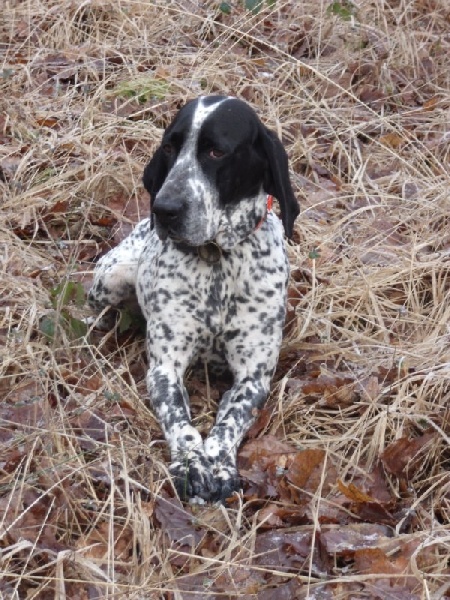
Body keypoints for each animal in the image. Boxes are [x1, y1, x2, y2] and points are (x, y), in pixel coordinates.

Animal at [88, 97, 298, 502]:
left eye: (216, 151)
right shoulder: (164, 368)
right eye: (170, 147)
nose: (164, 209)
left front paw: (218, 464)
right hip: (111, 277)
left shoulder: (253, 376)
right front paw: (190, 463)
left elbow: (230, 420)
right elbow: (179, 421)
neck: (216, 259)